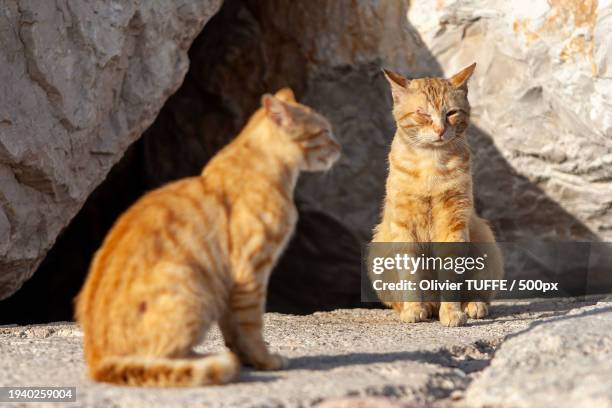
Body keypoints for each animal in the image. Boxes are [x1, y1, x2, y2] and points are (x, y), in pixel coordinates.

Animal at [74, 88, 342, 386]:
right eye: (325, 131)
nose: (339, 147)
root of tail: (95, 360)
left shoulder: (230, 284)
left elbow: (233, 329)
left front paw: (246, 358)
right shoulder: (250, 272)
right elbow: (251, 325)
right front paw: (264, 361)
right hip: (190, 289)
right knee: (159, 359)